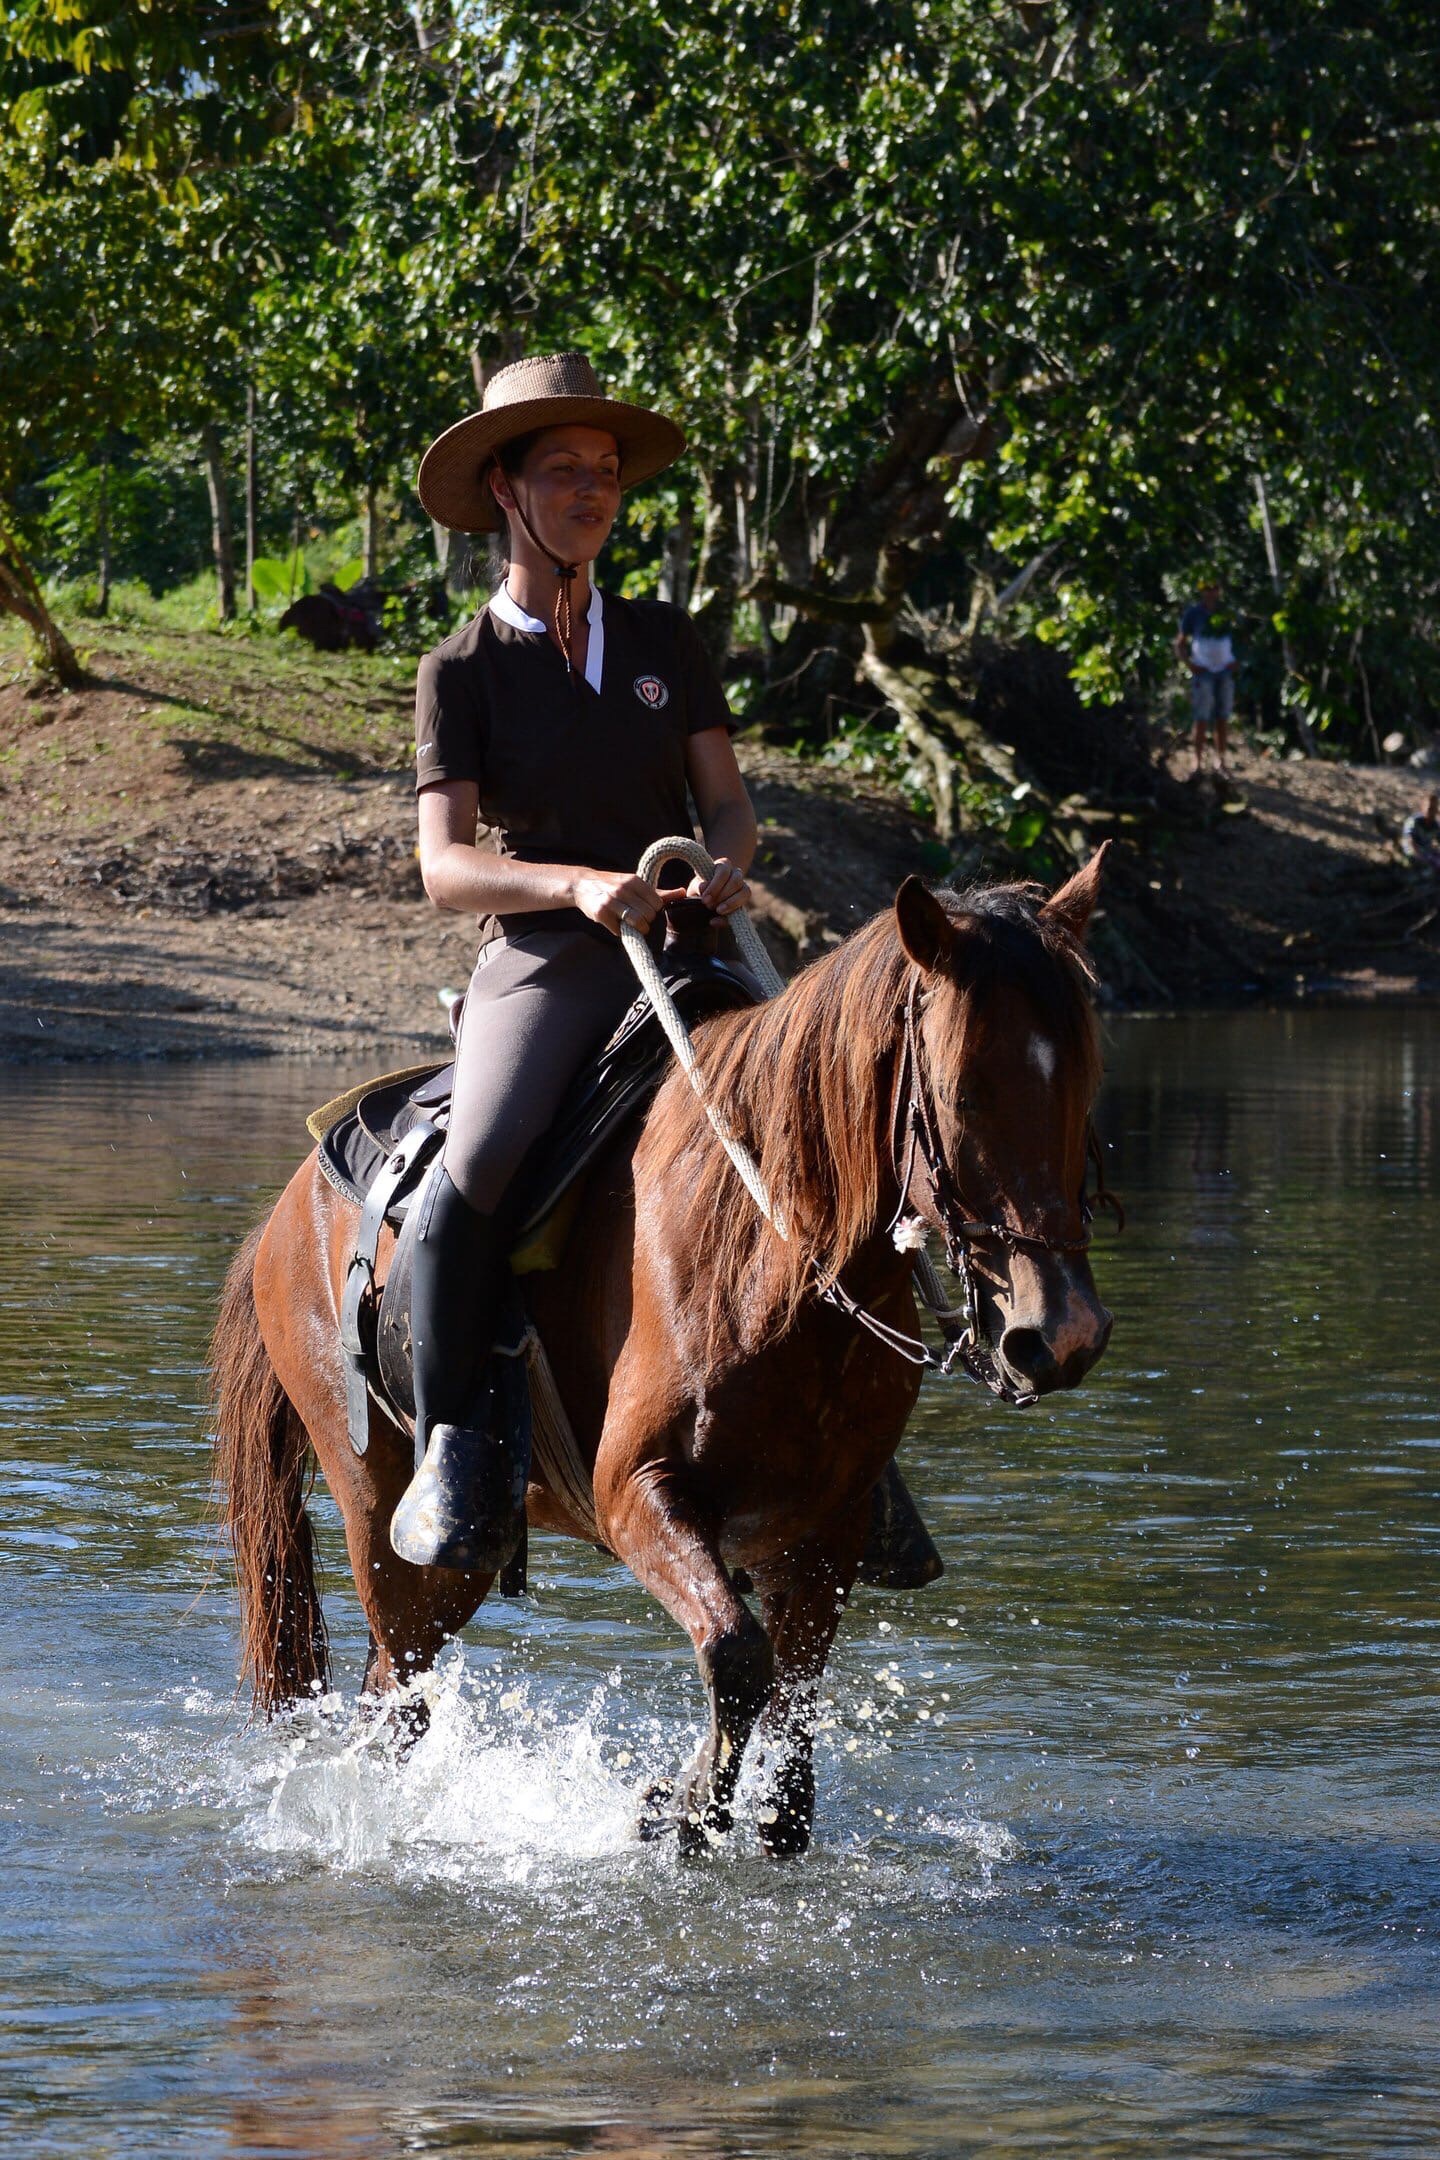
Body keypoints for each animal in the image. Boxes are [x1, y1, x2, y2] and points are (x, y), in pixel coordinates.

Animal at [213, 855, 1114, 1857]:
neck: (772, 1263)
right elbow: (737, 1656)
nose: (1061, 1335)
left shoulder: (825, 1529)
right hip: (385, 1520)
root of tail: (285, 1211)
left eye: (1084, 1084)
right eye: (960, 1095)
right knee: (396, 1696)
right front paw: (679, 1810)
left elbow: (791, 1714)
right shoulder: (639, 1495)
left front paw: (717, 1807)